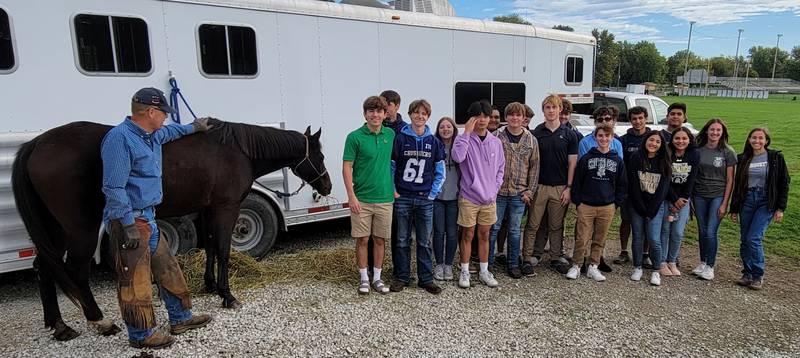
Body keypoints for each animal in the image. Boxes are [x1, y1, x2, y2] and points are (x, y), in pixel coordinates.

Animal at [12, 118, 332, 342]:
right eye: (319, 156)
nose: (327, 186)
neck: (237, 150)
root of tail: (37, 143)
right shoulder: (226, 208)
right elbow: (224, 250)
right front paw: (227, 296)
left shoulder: (207, 209)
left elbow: (211, 248)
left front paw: (210, 285)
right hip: (81, 229)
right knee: (76, 271)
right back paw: (99, 321)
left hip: (54, 230)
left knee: (44, 267)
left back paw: (60, 326)